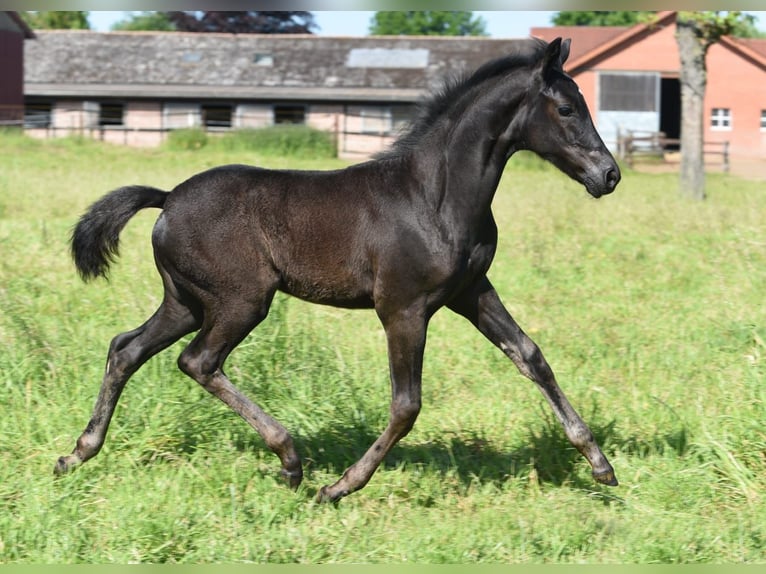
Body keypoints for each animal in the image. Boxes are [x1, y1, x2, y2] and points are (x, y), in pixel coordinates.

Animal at [56, 37, 620, 503]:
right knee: (198, 361)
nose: (609, 175)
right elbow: (406, 405)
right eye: (567, 107)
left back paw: (78, 452)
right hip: (241, 300)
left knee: (126, 349)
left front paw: (600, 464)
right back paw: (290, 461)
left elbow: (531, 356)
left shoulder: (471, 291)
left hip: (187, 302)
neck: (435, 196)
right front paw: (341, 487)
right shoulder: (402, 308)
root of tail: (168, 197)